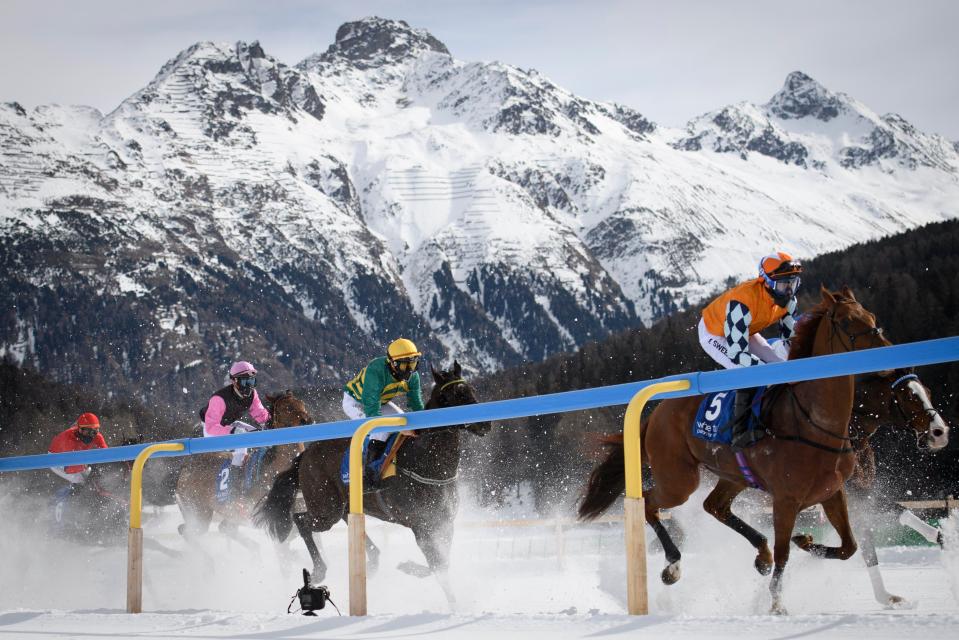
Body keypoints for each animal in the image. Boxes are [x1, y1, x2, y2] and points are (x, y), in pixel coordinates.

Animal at [176, 390, 312, 540]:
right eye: (287, 407)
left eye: (301, 403)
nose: (308, 420)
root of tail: (186, 469)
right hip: (198, 512)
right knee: (188, 532)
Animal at [580, 286, 896, 616]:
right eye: (847, 322)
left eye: (871, 316)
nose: (888, 355)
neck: (814, 421)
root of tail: (655, 414)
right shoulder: (786, 499)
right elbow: (785, 553)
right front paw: (776, 603)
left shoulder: (832, 491)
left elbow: (849, 546)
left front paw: (804, 541)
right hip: (679, 480)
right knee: (650, 503)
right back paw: (673, 565)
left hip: (733, 474)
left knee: (714, 506)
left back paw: (761, 555)